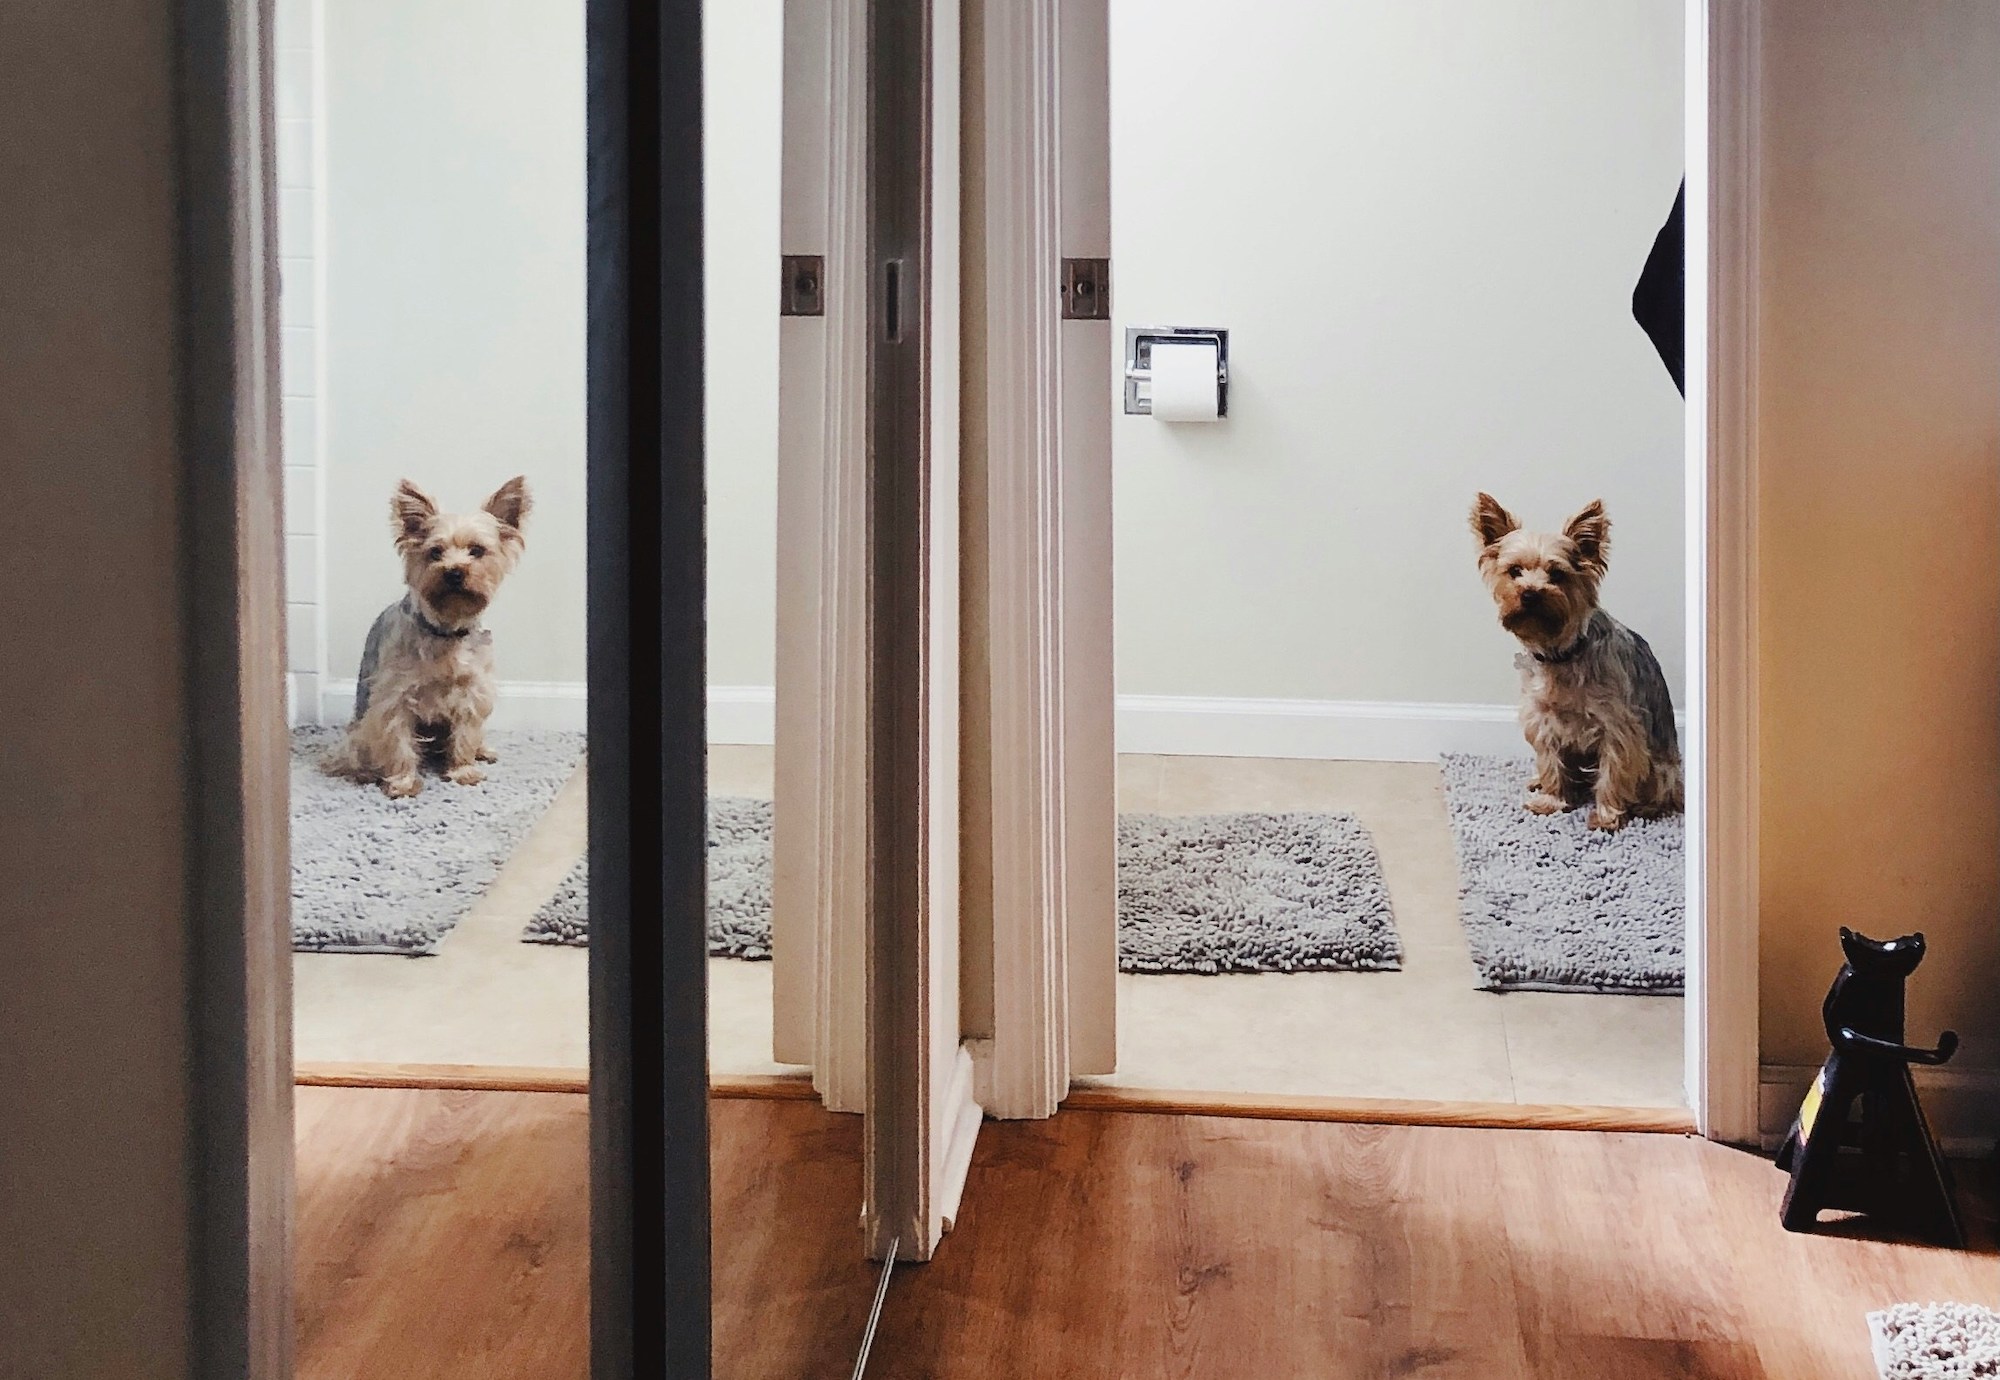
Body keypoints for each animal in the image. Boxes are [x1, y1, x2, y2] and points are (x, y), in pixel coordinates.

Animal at [320, 478, 528, 796]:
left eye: (477, 551)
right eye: (435, 552)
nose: (454, 572)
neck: (446, 630)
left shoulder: (472, 691)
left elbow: (465, 734)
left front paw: (463, 771)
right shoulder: (395, 697)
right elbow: (398, 742)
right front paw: (403, 782)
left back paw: (483, 751)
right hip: (359, 733)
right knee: (354, 754)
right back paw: (365, 772)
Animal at [1480, 492, 1680, 828]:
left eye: (1557, 574)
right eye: (1514, 571)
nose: (1530, 594)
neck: (1560, 652)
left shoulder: (1617, 725)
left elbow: (1614, 771)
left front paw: (1607, 816)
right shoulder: (1542, 718)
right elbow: (1550, 761)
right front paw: (1551, 800)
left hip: (1664, 770)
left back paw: (1646, 807)